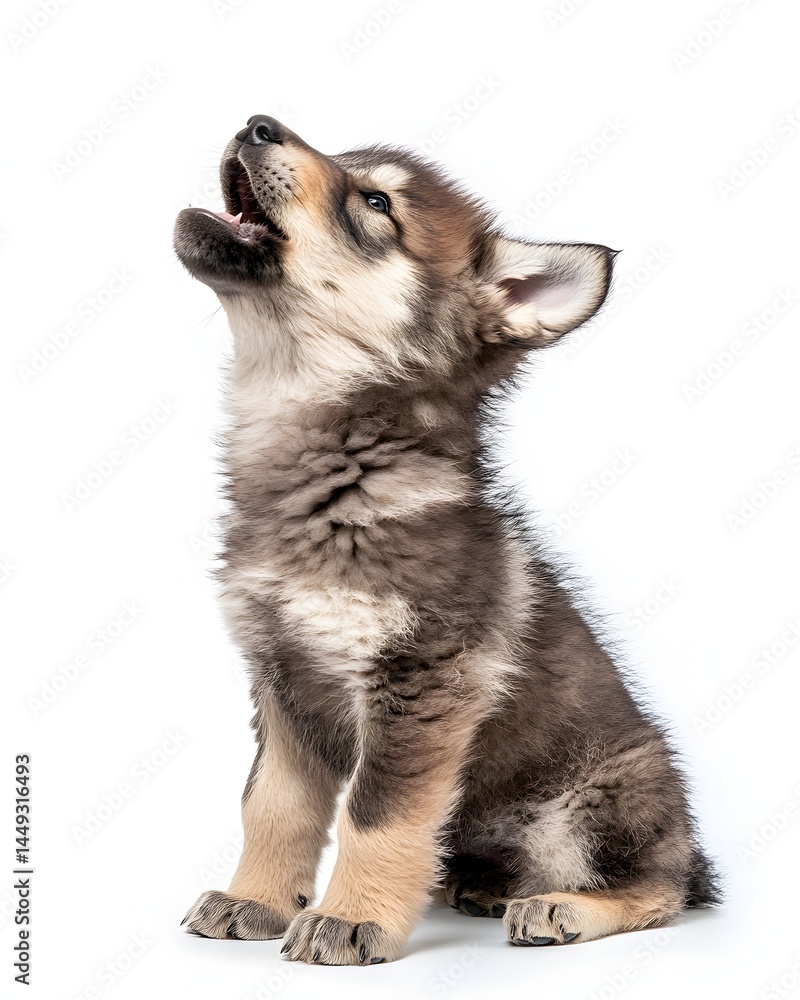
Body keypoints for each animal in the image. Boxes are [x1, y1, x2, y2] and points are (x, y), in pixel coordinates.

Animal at [174, 115, 718, 965]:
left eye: (375, 203)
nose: (256, 124)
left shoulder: (422, 681)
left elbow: (377, 814)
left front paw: (350, 917)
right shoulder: (281, 681)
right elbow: (272, 804)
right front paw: (254, 898)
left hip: (596, 802)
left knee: (657, 889)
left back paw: (561, 906)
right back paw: (485, 887)